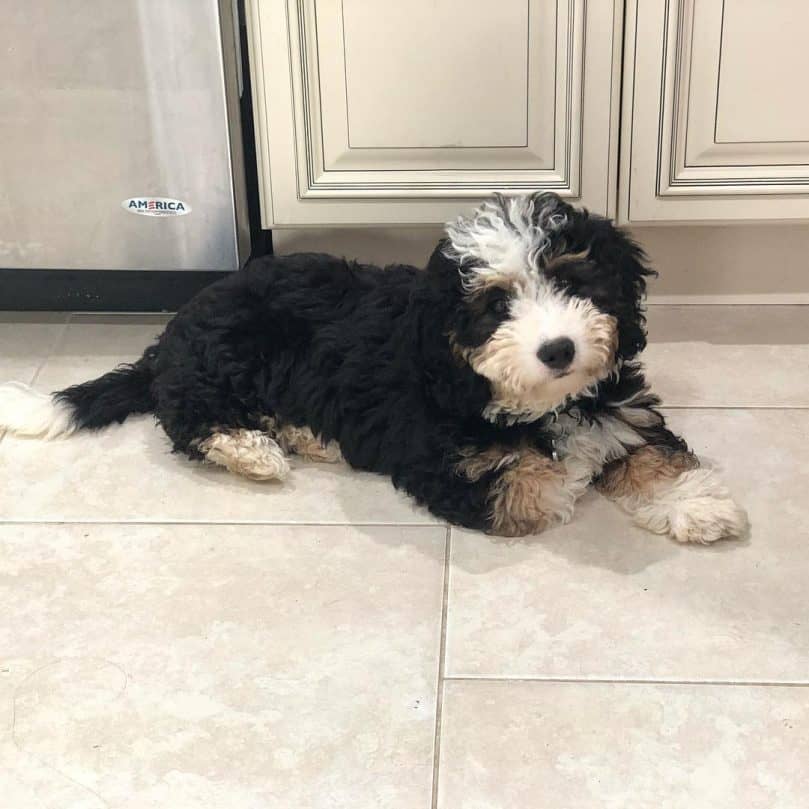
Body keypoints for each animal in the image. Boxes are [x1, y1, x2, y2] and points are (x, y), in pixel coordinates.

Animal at [0, 192, 748, 540]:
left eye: (571, 279)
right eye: (494, 307)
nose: (559, 350)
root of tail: (174, 329)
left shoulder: (620, 404)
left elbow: (644, 450)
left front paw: (695, 502)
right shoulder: (446, 461)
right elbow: (531, 478)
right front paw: (564, 469)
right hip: (227, 355)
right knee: (187, 415)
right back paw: (255, 452)